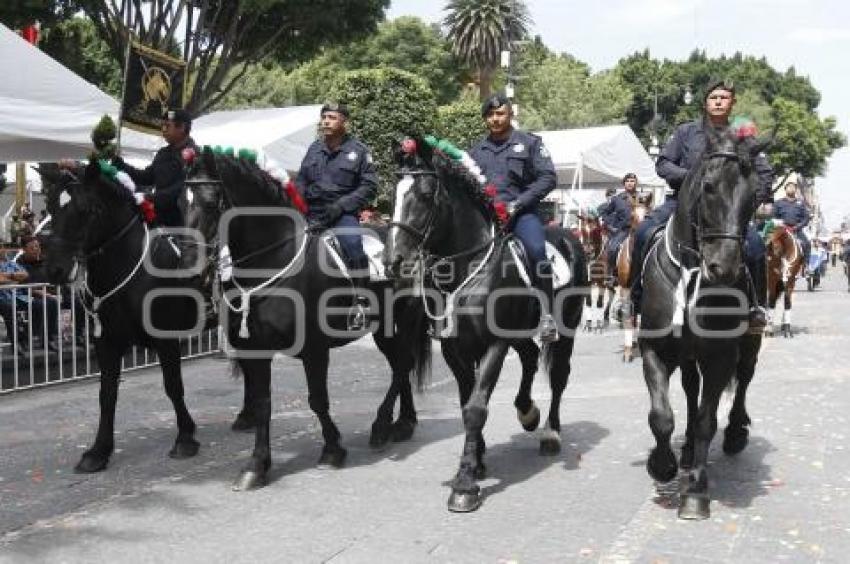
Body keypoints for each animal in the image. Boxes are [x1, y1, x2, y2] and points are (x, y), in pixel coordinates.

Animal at [41, 161, 204, 474]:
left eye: (88, 209)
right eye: (50, 206)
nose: (55, 270)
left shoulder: (166, 340)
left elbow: (173, 386)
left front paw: (185, 437)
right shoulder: (107, 342)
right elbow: (107, 395)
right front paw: (98, 451)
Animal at [382, 137, 584, 512]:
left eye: (425, 193)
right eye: (393, 192)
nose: (394, 261)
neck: (469, 264)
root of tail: (570, 235)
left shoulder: (494, 344)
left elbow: (476, 409)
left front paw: (465, 484)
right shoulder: (454, 347)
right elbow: (466, 402)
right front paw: (477, 460)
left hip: (566, 330)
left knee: (559, 375)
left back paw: (550, 431)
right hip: (520, 333)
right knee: (530, 358)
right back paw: (527, 412)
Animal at [636, 126, 768, 520]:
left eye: (755, 194)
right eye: (708, 186)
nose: (723, 268)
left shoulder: (720, 356)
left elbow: (710, 419)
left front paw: (695, 489)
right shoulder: (654, 348)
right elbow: (661, 416)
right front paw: (662, 465)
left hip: (749, 343)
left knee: (744, 379)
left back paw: (734, 433)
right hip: (687, 355)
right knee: (691, 388)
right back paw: (685, 449)